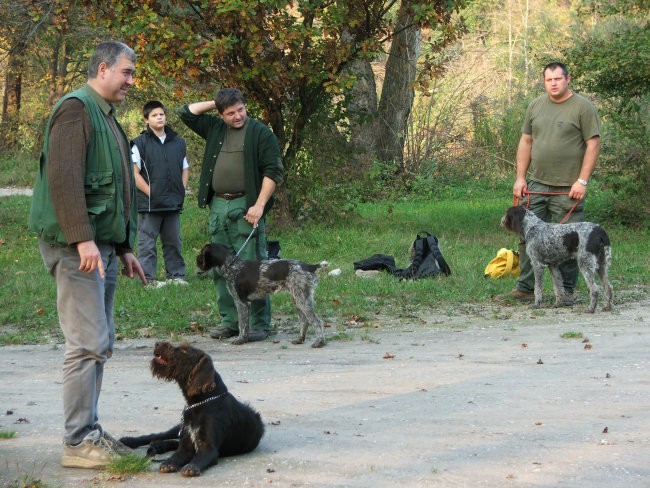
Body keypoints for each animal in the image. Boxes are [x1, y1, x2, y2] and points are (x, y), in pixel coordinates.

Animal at [119, 342, 264, 474]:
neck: (200, 403)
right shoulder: (185, 445)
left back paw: (159, 445)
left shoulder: (208, 449)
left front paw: (191, 467)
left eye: (184, 351)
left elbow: (198, 458)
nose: (157, 344)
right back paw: (131, 441)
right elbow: (176, 455)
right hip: (178, 427)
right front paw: (169, 462)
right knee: (159, 435)